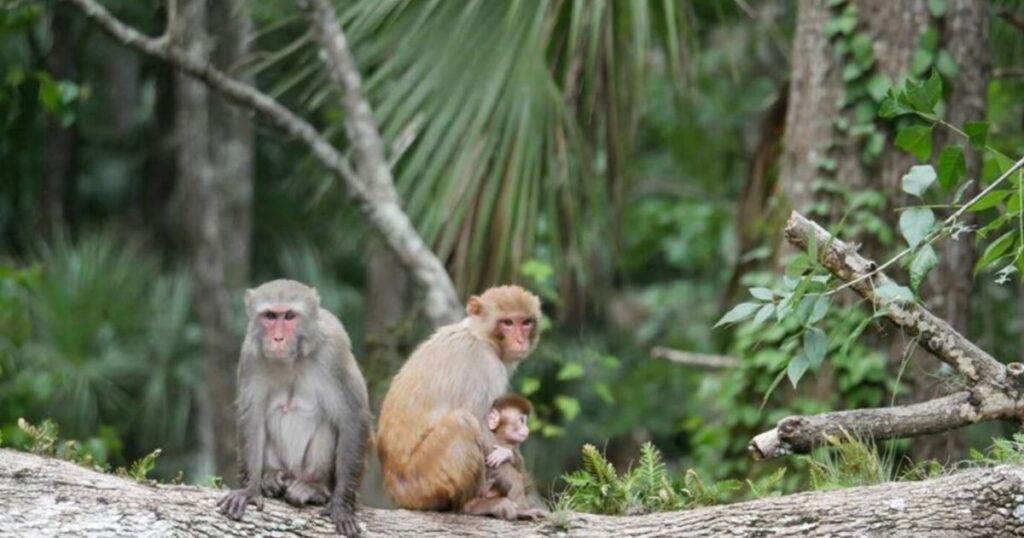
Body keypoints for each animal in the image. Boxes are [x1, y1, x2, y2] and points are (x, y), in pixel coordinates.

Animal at [217, 279, 371, 537]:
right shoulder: (250, 354)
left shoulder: (335, 349)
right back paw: (270, 478)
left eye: (289, 316)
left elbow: (353, 417)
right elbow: (252, 418)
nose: (278, 338)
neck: (293, 358)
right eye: (270, 316)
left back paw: (315, 489)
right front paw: (250, 489)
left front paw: (341, 505)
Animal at [376, 285, 542, 517]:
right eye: (508, 322)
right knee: (462, 423)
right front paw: (517, 488)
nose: (520, 340)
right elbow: (484, 427)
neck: (479, 336)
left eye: (526, 322)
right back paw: (472, 505)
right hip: (421, 483)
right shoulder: (484, 364)